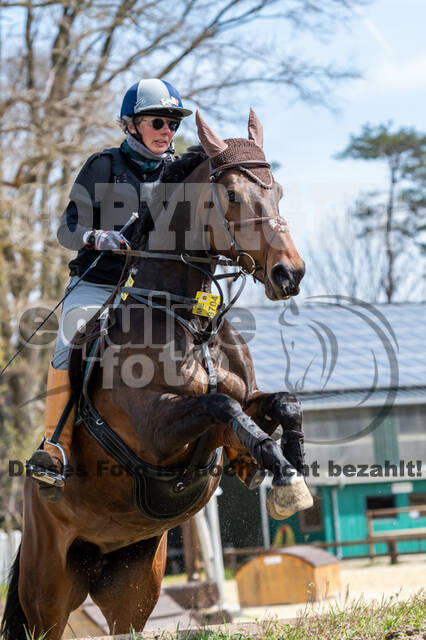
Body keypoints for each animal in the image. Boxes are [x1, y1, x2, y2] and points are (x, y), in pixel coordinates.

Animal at [0, 107, 312, 636]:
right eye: (232, 195)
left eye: (279, 192)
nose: (289, 274)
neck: (189, 318)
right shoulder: (155, 433)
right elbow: (218, 404)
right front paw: (282, 475)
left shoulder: (245, 403)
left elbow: (277, 404)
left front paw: (287, 468)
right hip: (48, 591)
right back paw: (48, 464)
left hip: (135, 577)